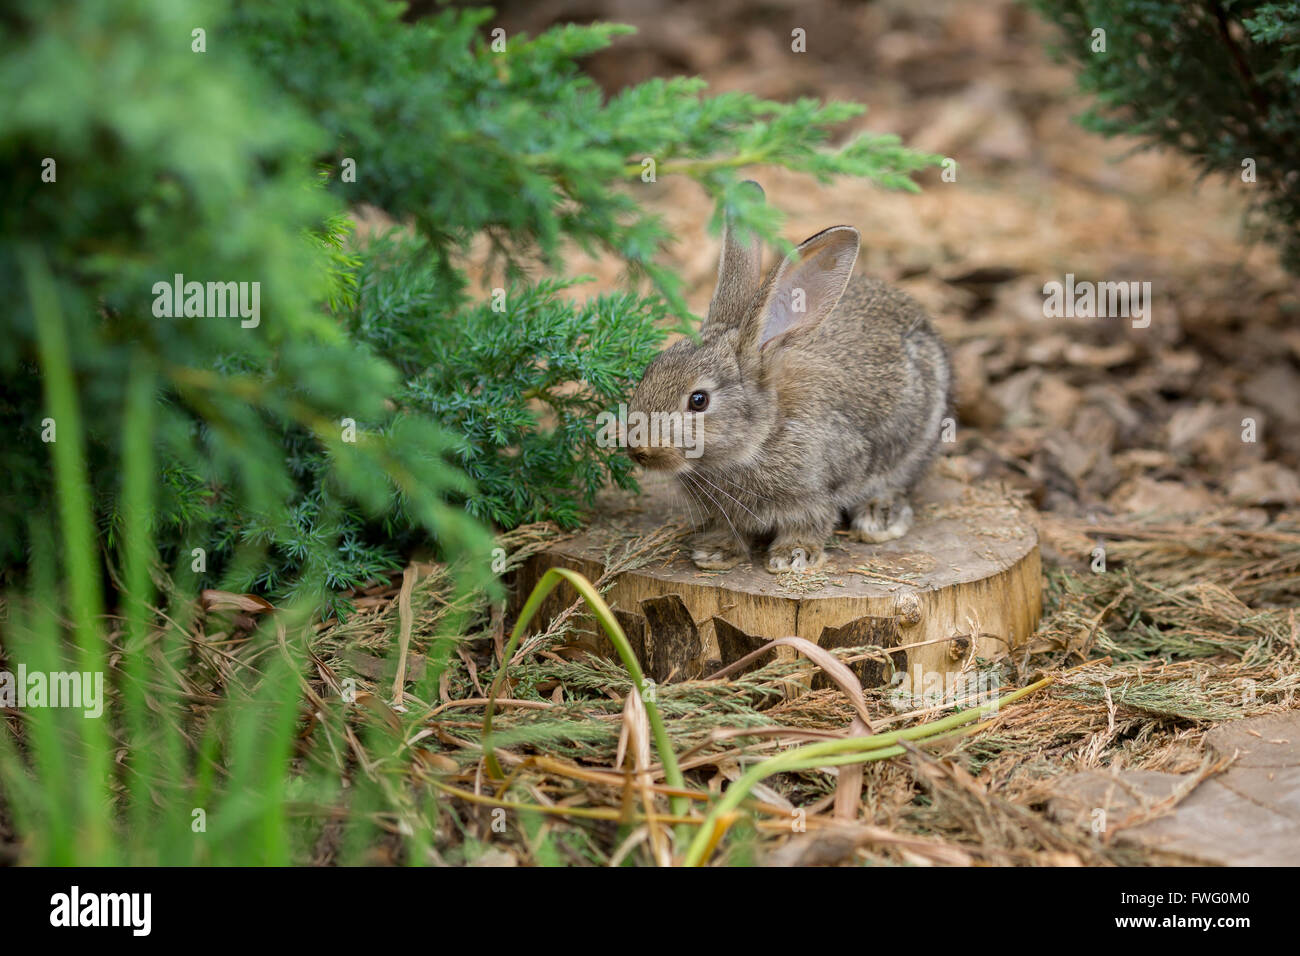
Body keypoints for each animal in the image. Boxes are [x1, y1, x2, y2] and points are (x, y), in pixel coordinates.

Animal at [624, 182, 952, 573]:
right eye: (651, 368)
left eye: (698, 400)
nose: (638, 450)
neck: (761, 437)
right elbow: (728, 528)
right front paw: (715, 552)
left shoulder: (819, 489)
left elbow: (812, 521)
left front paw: (793, 555)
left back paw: (879, 518)